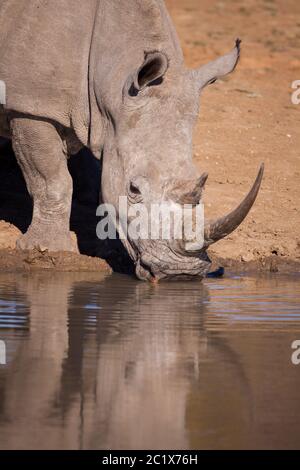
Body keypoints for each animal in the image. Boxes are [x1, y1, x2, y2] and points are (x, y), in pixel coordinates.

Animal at [0, 0, 262, 280]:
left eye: (200, 192)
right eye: (133, 189)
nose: (180, 273)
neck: (110, 80)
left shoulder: (108, 125)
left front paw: (105, 246)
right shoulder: (32, 106)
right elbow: (53, 180)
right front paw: (47, 249)